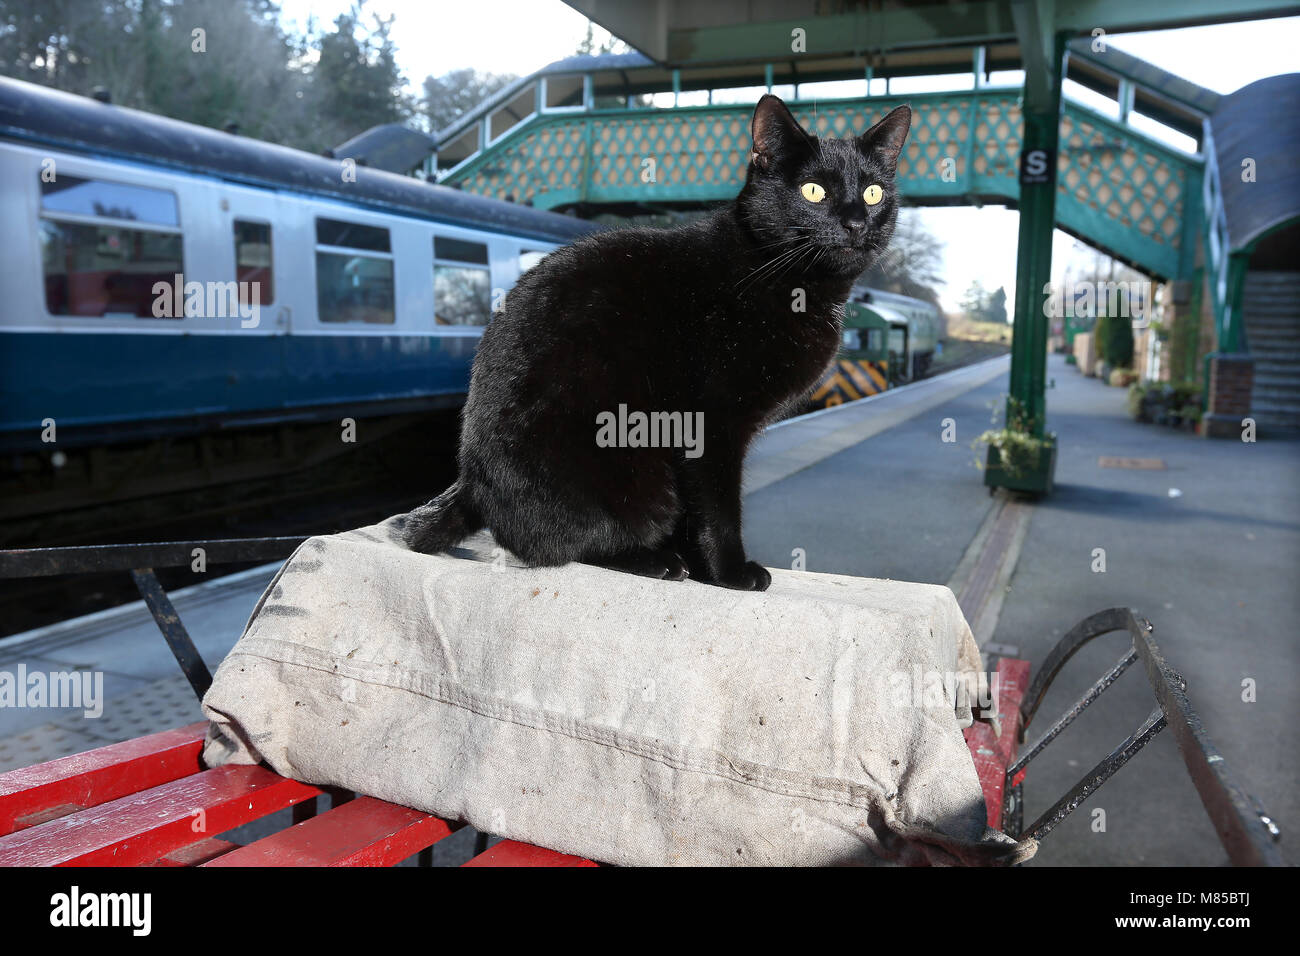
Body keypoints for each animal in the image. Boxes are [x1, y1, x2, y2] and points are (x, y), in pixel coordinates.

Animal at [400, 97, 909, 590]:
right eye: (813, 191)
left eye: (873, 193)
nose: (856, 221)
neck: (790, 282)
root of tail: (471, 483)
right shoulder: (711, 421)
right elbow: (718, 507)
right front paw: (730, 573)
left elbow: (696, 515)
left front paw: (705, 567)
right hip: (626, 471)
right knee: (570, 543)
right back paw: (654, 561)